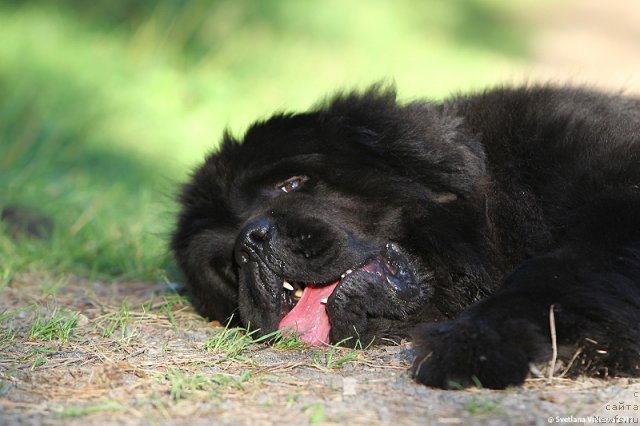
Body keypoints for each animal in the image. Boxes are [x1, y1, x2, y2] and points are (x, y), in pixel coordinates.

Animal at [170, 84, 640, 390]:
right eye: (228, 263)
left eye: (292, 184)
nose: (250, 241)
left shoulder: (613, 204)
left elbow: (556, 272)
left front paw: (474, 343)